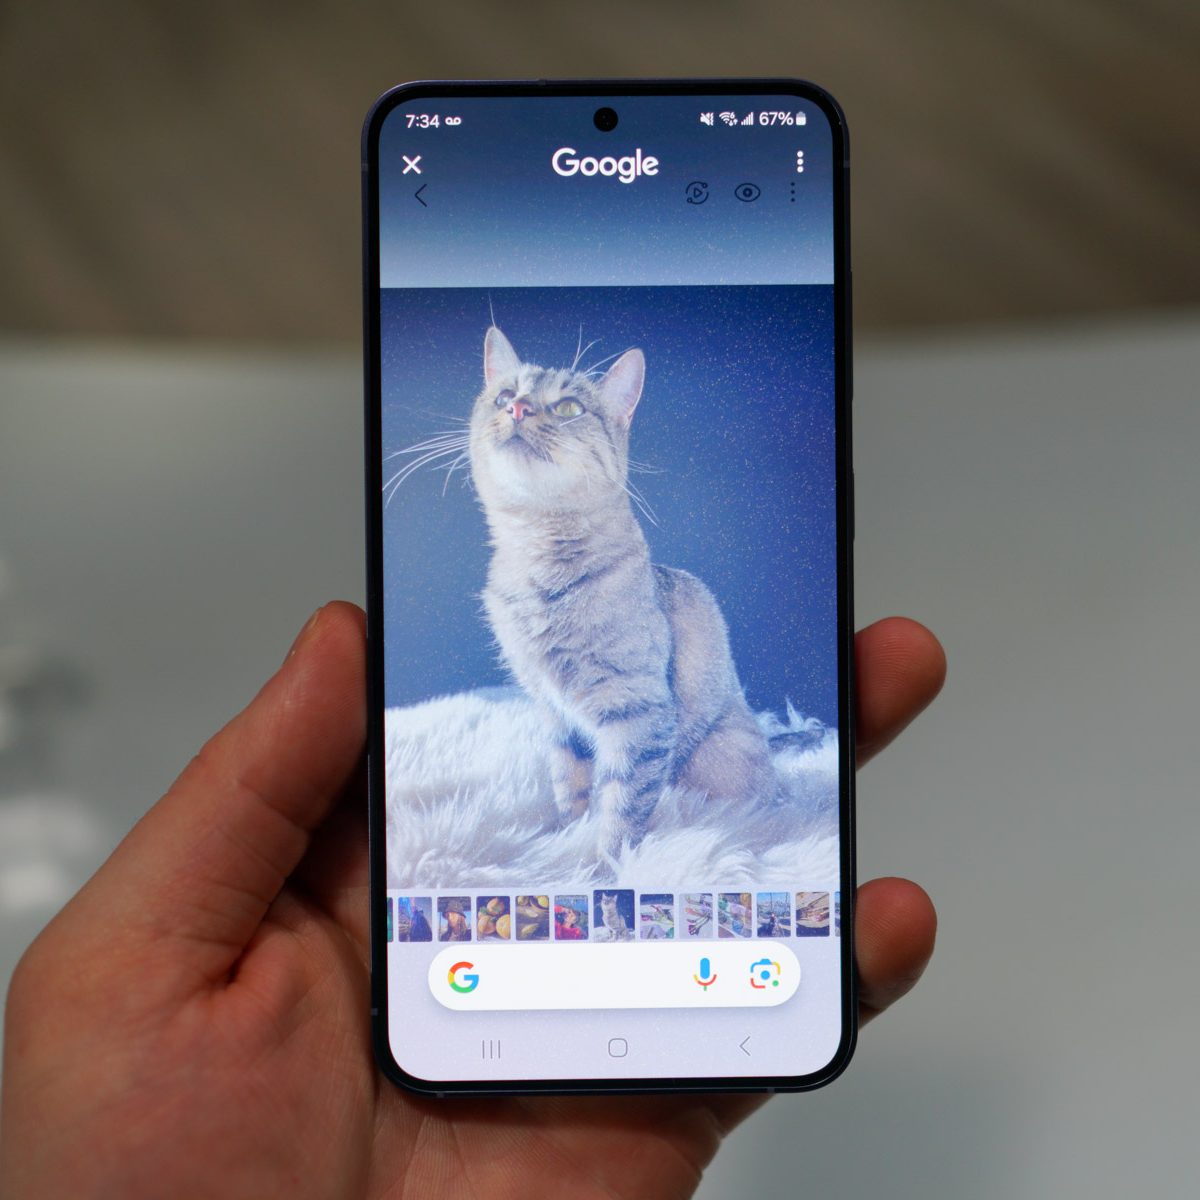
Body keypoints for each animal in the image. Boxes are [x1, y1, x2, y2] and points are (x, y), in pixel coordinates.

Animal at [469, 326, 774, 851]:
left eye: (568, 407)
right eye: (505, 396)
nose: (518, 409)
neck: (543, 564)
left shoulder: (637, 711)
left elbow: (621, 807)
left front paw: (603, 862)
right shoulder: (555, 711)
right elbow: (570, 786)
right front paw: (566, 835)